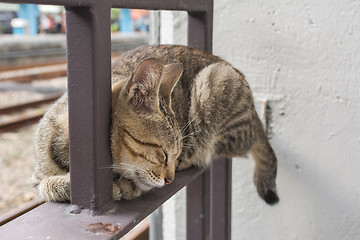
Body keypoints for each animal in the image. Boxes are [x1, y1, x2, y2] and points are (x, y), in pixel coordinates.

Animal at [32, 44, 280, 204]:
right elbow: (47, 186)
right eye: (163, 153)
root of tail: (255, 114)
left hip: (215, 79)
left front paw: (122, 187)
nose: (169, 179)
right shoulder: (38, 179)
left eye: (175, 153)